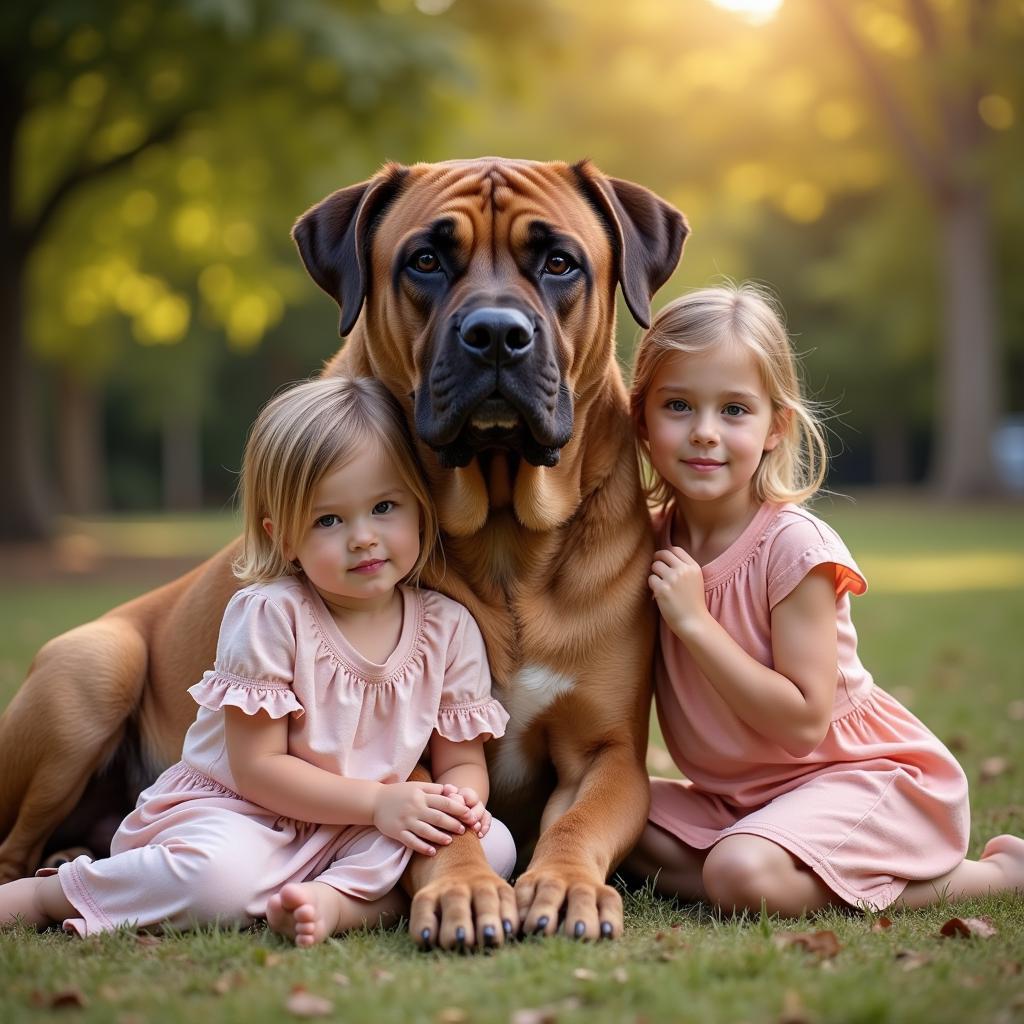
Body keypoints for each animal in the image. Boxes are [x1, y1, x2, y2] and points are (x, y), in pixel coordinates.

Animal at [4, 155, 688, 946]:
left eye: (559, 263)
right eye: (425, 261)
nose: (494, 333)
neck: (503, 537)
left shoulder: (608, 752)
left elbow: (580, 819)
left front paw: (566, 884)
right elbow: (433, 818)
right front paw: (465, 889)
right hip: (91, 670)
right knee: (16, 846)